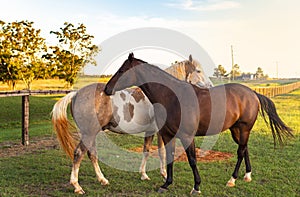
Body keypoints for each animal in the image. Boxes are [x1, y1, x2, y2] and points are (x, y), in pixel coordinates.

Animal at [51, 55, 212, 194]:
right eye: (198, 71)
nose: (210, 86)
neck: (164, 94)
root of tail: (76, 94)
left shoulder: (152, 131)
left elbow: (147, 150)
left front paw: (144, 175)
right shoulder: (161, 132)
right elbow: (162, 153)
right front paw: (164, 176)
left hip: (90, 134)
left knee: (92, 154)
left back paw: (102, 180)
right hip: (89, 134)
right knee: (79, 153)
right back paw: (77, 186)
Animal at [104, 52, 294, 195]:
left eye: (122, 70)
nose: (106, 89)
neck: (172, 97)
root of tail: (252, 93)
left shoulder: (188, 136)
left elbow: (192, 160)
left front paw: (196, 187)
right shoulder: (167, 134)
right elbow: (169, 157)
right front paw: (166, 184)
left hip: (244, 128)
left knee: (240, 152)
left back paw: (232, 180)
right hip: (236, 130)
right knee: (244, 148)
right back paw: (247, 175)